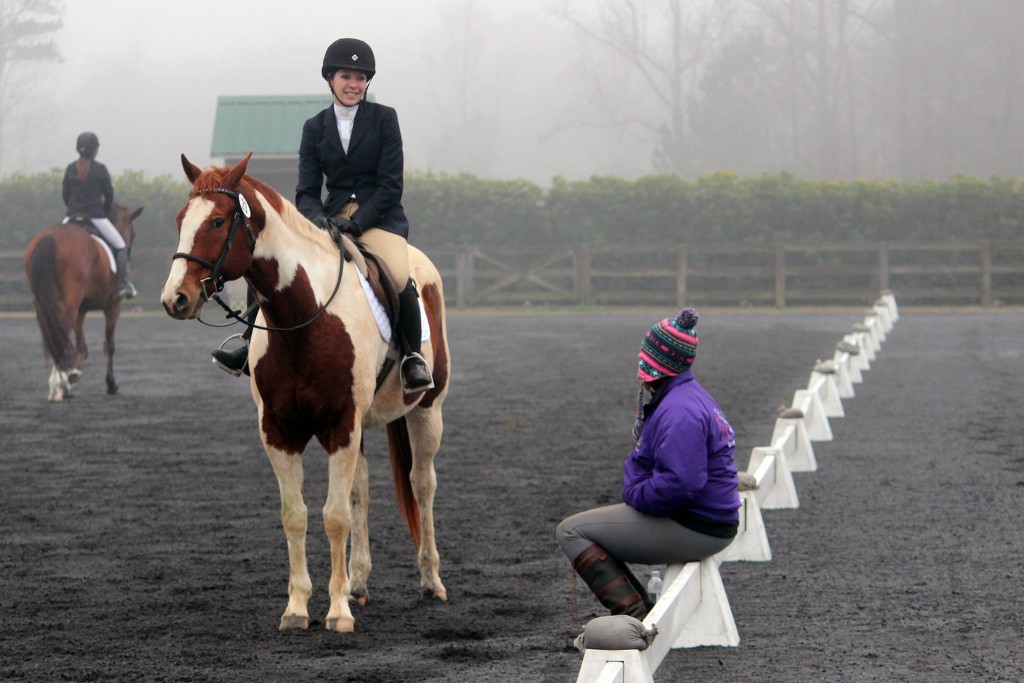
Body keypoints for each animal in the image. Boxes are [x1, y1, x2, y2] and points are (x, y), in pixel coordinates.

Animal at [24, 202, 145, 401]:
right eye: (133, 232)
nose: (127, 257)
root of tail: (50, 237)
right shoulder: (113, 306)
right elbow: (109, 345)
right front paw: (111, 384)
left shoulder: (81, 310)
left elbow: (82, 346)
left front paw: (73, 378)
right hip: (69, 303)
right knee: (61, 330)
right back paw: (60, 383)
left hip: (42, 302)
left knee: (54, 333)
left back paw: (62, 381)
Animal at [159, 154, 448, 634]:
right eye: (182, 220)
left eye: (217, 221)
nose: (175, 299)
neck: (303, 319)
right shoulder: (280, 430)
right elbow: (296, 515)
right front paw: (297, 608)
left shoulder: (340, 423)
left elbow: (335, 516)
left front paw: (337, 612)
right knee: (362, 490)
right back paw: (358, 583)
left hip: (427, 410)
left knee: (422, 485)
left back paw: (430, 582)